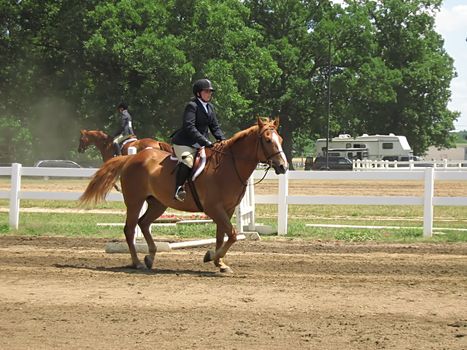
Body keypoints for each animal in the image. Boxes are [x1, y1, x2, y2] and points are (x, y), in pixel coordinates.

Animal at [79, 117, 288, 274]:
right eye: (268, 140)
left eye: (281, 140)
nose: (283, 166)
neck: (229, 166)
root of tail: (131, 157)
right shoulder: (214, 208)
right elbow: (233, 235)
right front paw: (212, 257)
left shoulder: (226, 210)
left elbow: (223, 236)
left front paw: (219, 263)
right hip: (135, 201)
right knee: (130, 229)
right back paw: (137, 262)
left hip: (158, 203)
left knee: (143, 223)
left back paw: (150, 256)